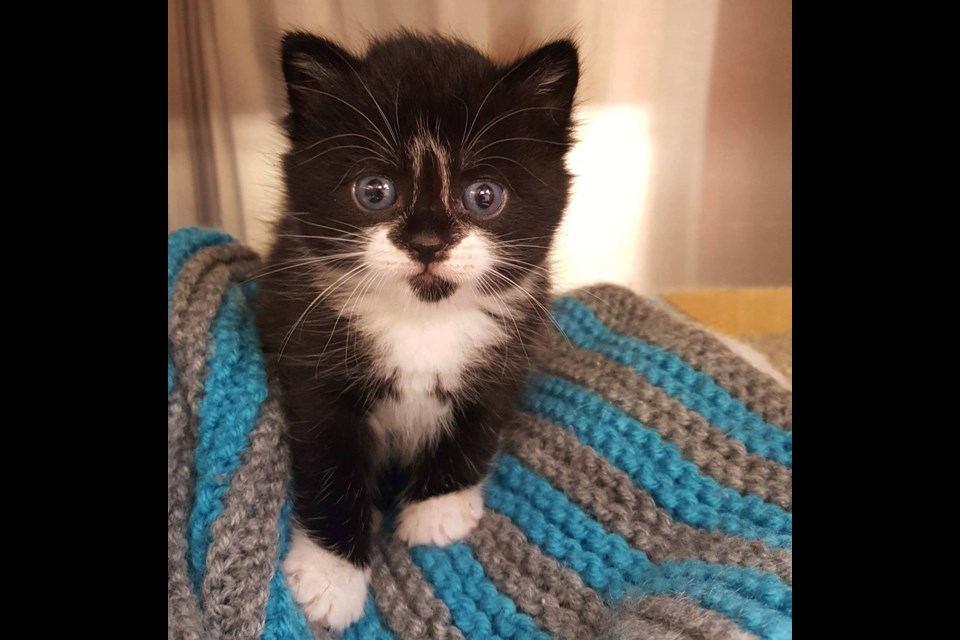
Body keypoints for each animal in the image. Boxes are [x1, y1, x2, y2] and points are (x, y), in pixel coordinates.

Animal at [256, 31, 576, 632]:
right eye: (375, 191)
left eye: (484, 196)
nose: (428, 243)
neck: (422, 322)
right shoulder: (307, 354)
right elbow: (329, 464)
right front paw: (332, 577)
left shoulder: (512, 348)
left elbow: (480, 423)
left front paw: (438, 511)